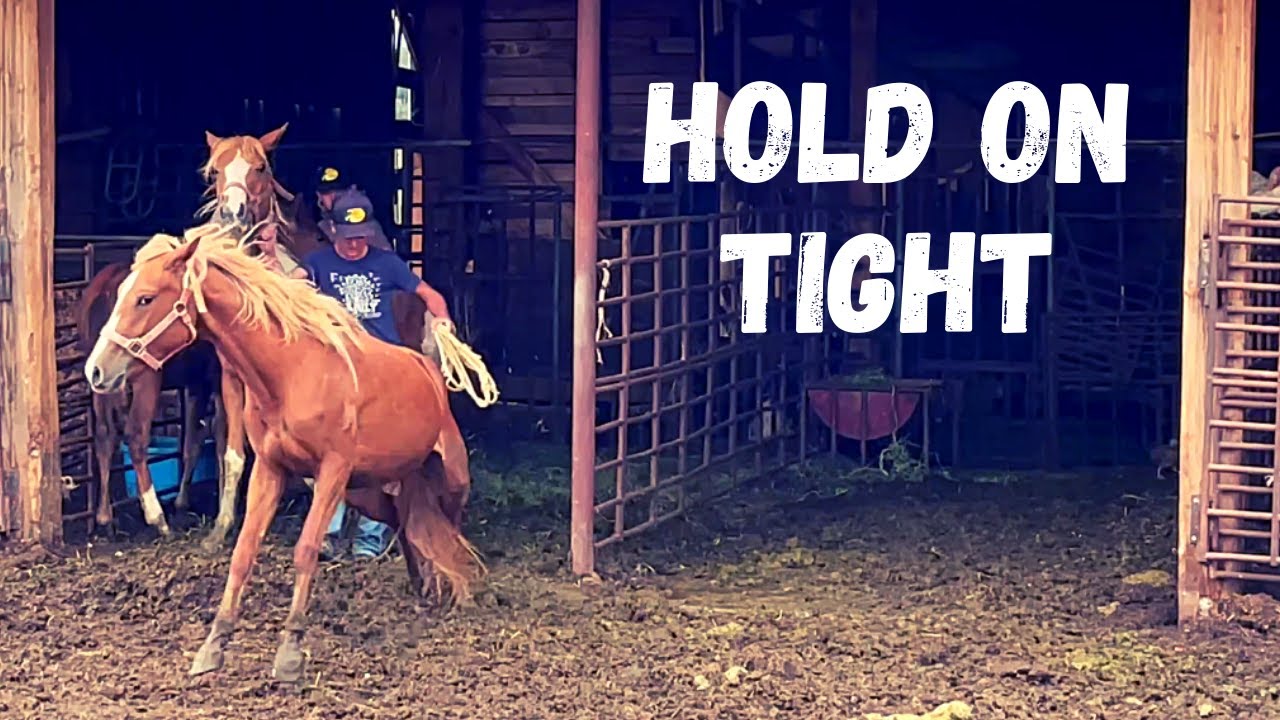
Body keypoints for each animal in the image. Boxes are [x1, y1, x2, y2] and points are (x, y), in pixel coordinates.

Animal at [76, 262, 225, 536]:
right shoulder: (215, 380)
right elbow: (219, 438)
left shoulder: (196, 384)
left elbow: (192, 442)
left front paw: (182, 502)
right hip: (143, 380)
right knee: (136, 437)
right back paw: (157, 518)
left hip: (101, 384)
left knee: (104, 436)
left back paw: (105, 517)